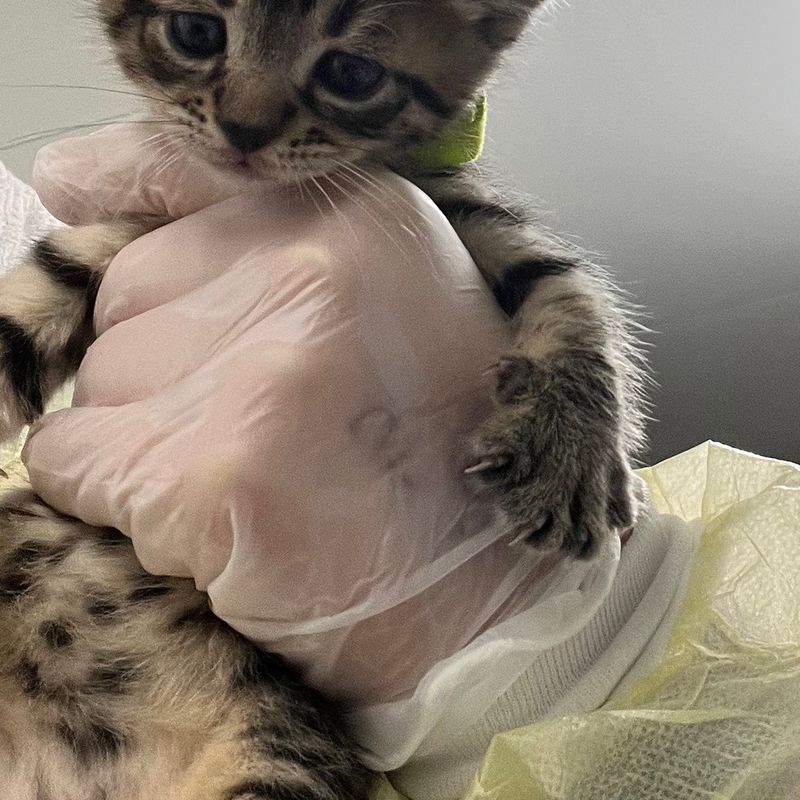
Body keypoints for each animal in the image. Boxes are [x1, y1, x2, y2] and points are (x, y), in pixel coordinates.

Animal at [0, 0, 647, 797]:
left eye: (352, 74)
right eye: (195, 33)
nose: (244, 131)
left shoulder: (463, 206)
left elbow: (565, 286)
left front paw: (572, 446)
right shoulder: (103, 239)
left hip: (274, 752)